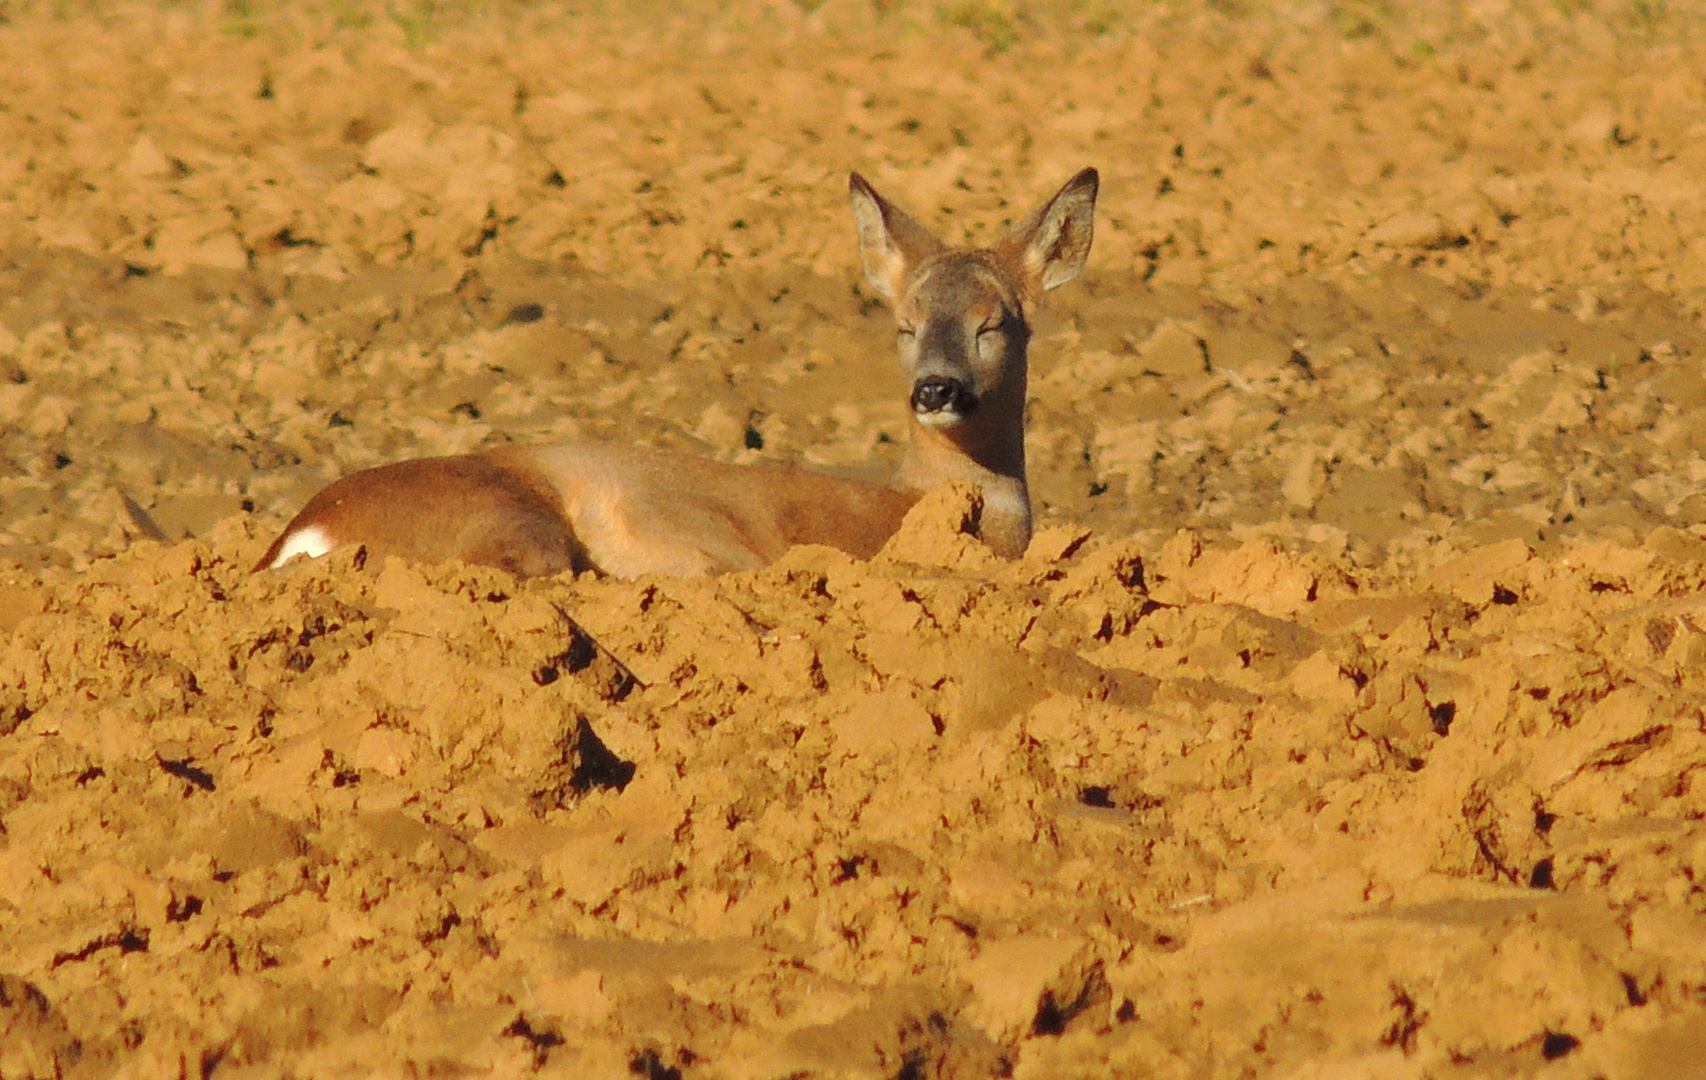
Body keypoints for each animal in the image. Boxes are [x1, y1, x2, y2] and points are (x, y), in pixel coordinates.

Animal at [257, 168, 1098, 576]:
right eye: (904, 325)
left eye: (995, 324)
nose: (936, 388)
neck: (918, 502)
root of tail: (305, 533)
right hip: (508, 520)